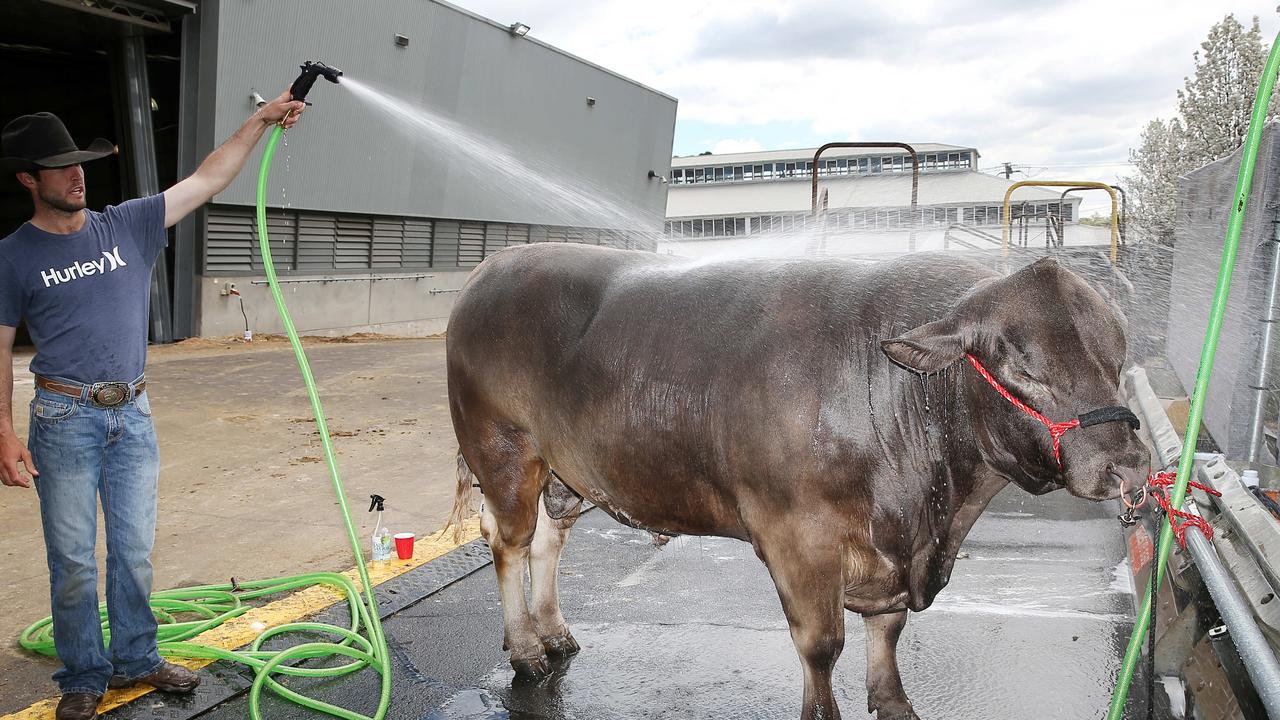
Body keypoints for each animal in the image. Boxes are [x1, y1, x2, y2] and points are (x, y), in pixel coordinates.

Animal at [445, 242, 1146, 717]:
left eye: (1118, 357)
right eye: (1024, 369)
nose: (1129, 465)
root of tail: (493, 267)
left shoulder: (891, 551)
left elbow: (887, 630)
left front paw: (894, 703)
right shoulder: (797, 534)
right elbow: (821, 644)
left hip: (566, 472)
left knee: (547, 540)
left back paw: (556, 633)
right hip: (503, 451)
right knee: (508, 543)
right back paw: (526, 649)